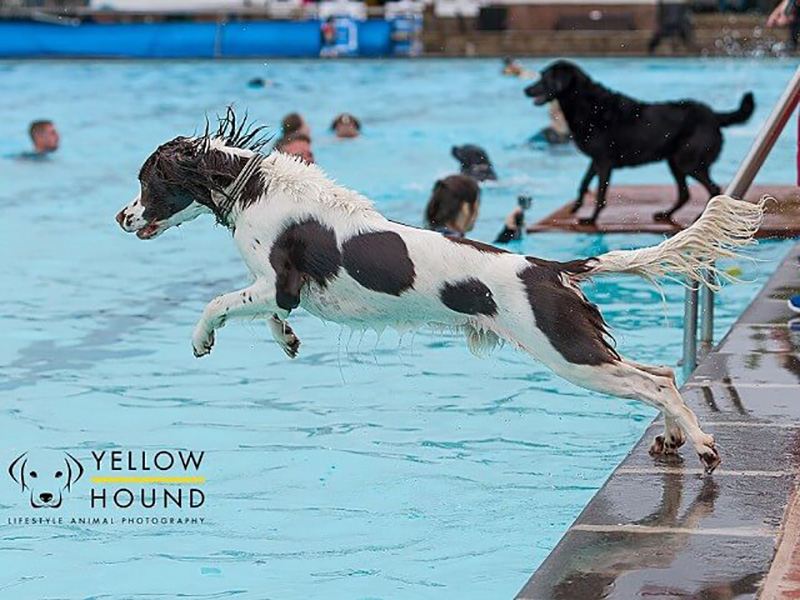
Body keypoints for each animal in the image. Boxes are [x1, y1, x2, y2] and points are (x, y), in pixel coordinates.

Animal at [115, 110, 764, 472]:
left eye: (147, 182)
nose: (121, 217)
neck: (254, 186)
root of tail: (552, 266)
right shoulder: (278, 294)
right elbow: (271, 318)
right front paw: (290, 341)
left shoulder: (276, 283)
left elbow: (218, 303)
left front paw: (202, 341)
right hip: (582, 346)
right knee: (662, 373)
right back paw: (674, 439)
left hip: (566, 352)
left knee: (654, 383)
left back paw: (704, 446)